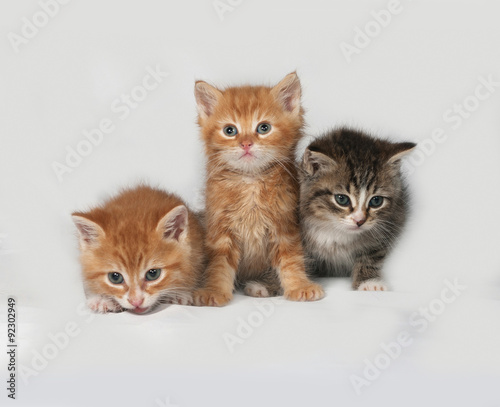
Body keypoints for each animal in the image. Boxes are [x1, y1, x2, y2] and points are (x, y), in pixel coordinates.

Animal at [191, 72, 324, 306]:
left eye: (263, 128)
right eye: (230, 131)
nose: (246, 144)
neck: (250, 180)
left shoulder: (285, 226)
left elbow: (291, 260)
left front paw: (299, 286)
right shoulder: (219, 229)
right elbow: (218, 264)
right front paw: (214, 291)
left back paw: (262, 286)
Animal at [298, 127, 416, 290]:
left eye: (376, 201)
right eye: (342, 199)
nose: (360, 220)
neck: (334, 231)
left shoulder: (390, 224)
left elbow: (371, 255)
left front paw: (369, 281)